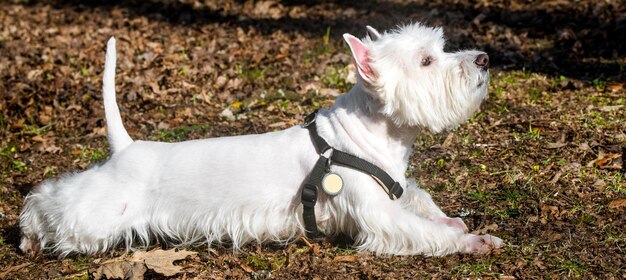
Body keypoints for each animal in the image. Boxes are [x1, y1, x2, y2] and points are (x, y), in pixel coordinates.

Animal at [18, 23, 502, 258]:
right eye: (426, 61)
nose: (484, 58)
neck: (370, 135)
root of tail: (125, 147)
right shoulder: (375, 215)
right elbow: (421, 230)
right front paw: (476, 242)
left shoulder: (395, 191)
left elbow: (423, 204)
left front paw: (456, 223)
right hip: (98, 215)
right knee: (46, 198)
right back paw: (28, 238)